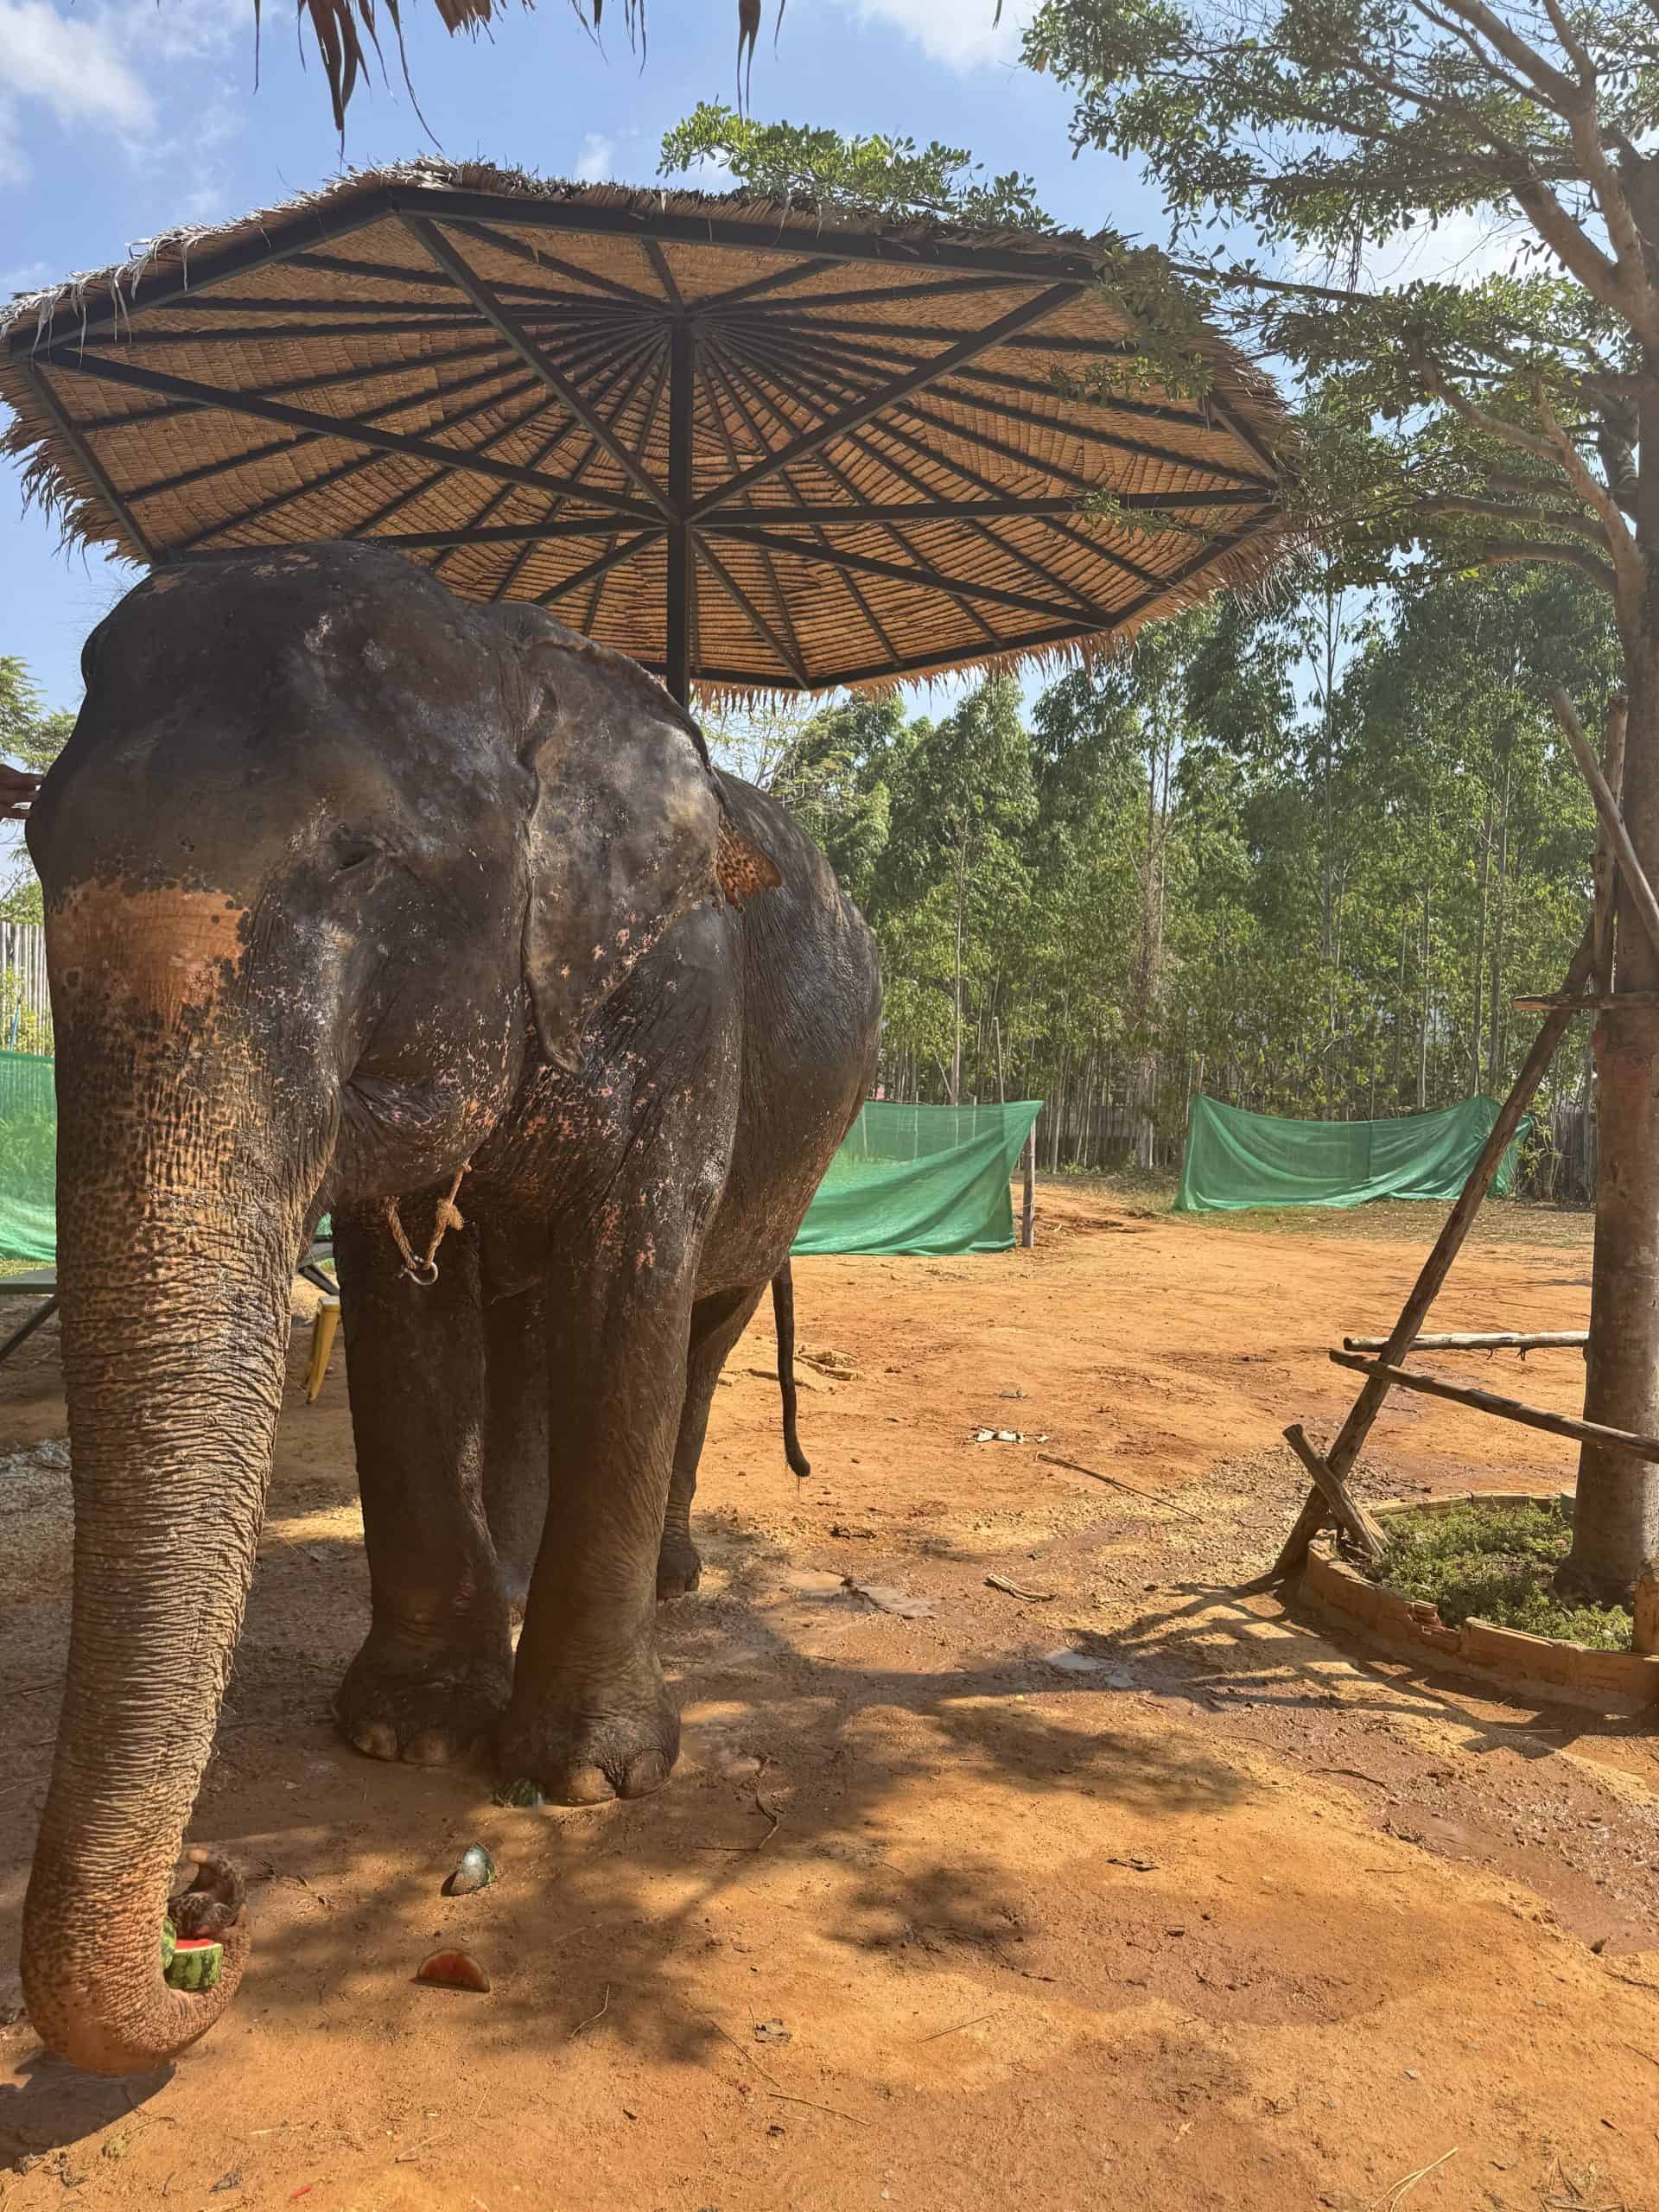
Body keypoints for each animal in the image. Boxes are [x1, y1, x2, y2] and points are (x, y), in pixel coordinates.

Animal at [19, 542, 881, 2077]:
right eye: (41, 848)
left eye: (361, 859)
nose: (207, 1902)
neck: (505, 662)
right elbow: (402, 1317)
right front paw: (409, 1737)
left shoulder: (681, 997)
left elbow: (635, 1278)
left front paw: (593, 1775)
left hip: (813, 1134)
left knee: (703, 1326)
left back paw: (668, 1578)